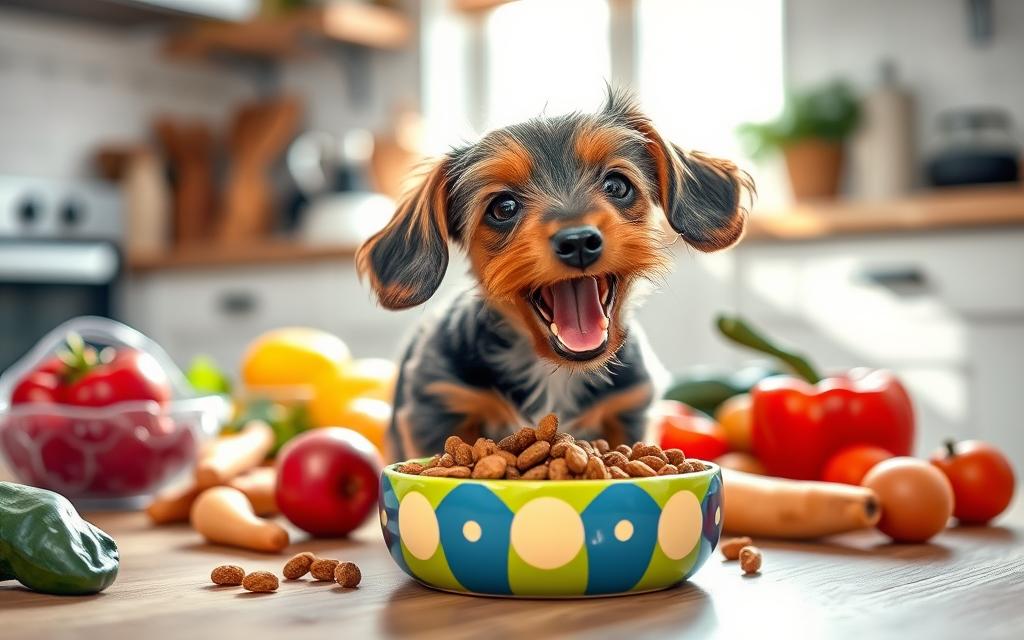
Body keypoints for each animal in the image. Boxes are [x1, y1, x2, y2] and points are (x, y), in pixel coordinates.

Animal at [358, 90, 753, 458]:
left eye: (616, 186)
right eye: (503, 207)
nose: (578, 241)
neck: (555, 372)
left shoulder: (629, 411)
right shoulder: (435, 408)